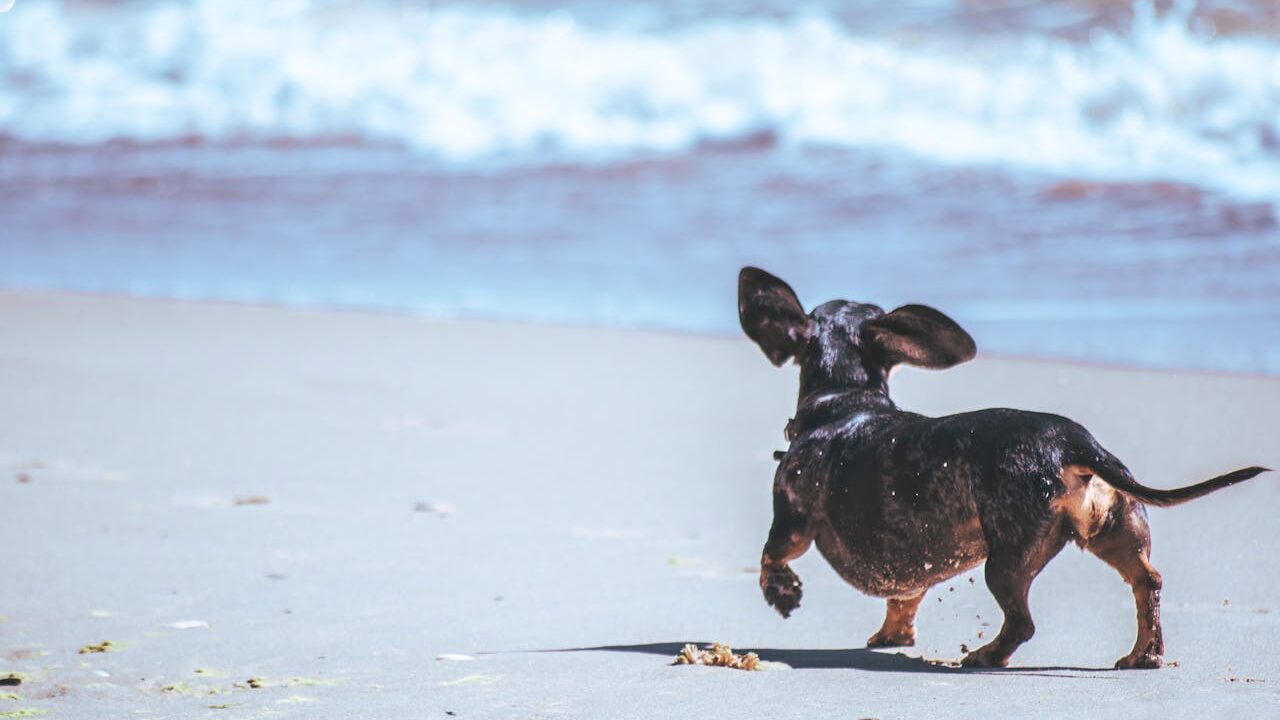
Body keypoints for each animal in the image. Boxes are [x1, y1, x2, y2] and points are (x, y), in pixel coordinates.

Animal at [742, 266, 1269, 671]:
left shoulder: (792, 519)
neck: (845, 402)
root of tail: (1072, 442)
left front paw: (782, 593)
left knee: (1022, 622)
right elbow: (904, 598)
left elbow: (771, 555)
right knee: (1148, 582)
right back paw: (1144, 654)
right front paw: (893, 634)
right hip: (1115, 530)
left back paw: (985, 655)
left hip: (1005, 559)